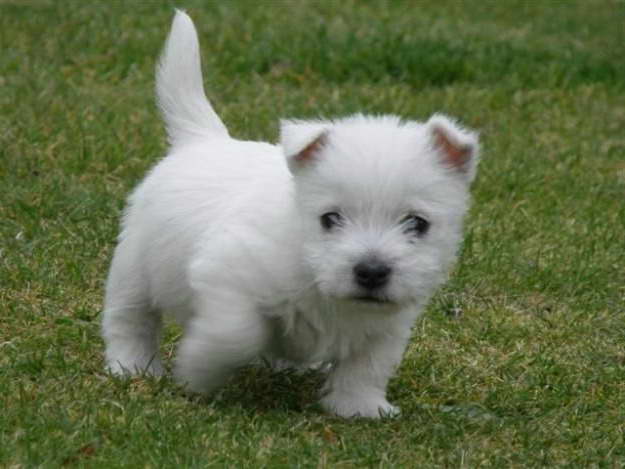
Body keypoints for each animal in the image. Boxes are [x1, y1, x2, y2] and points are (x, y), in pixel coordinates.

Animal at [103, 11, 482, 416]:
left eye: (417, 223)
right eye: (329, 218)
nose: (371, 272)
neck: (312, 268)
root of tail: (203, 139)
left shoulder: (387, 324)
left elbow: (368, 364)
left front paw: (359, 407)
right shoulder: (228, 274)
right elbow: (235, 332)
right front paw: (198, 369)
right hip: (134, 269)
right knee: (130, 320)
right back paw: (131, 367)